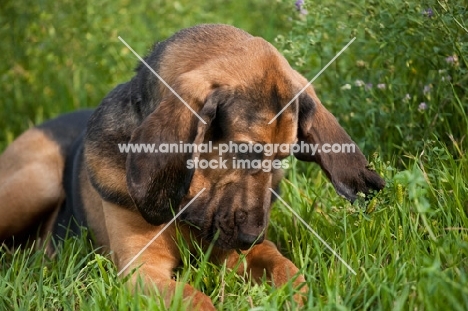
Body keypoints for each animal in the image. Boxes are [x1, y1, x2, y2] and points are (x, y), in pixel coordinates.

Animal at [0, 24, 384, 310]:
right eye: (244, 152)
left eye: (282, 159)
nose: (250, 238)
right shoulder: (143, 270)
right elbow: (193, 298)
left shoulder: (247, 253)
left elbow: (286, 269)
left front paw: (301, 297)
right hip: (36, 181)